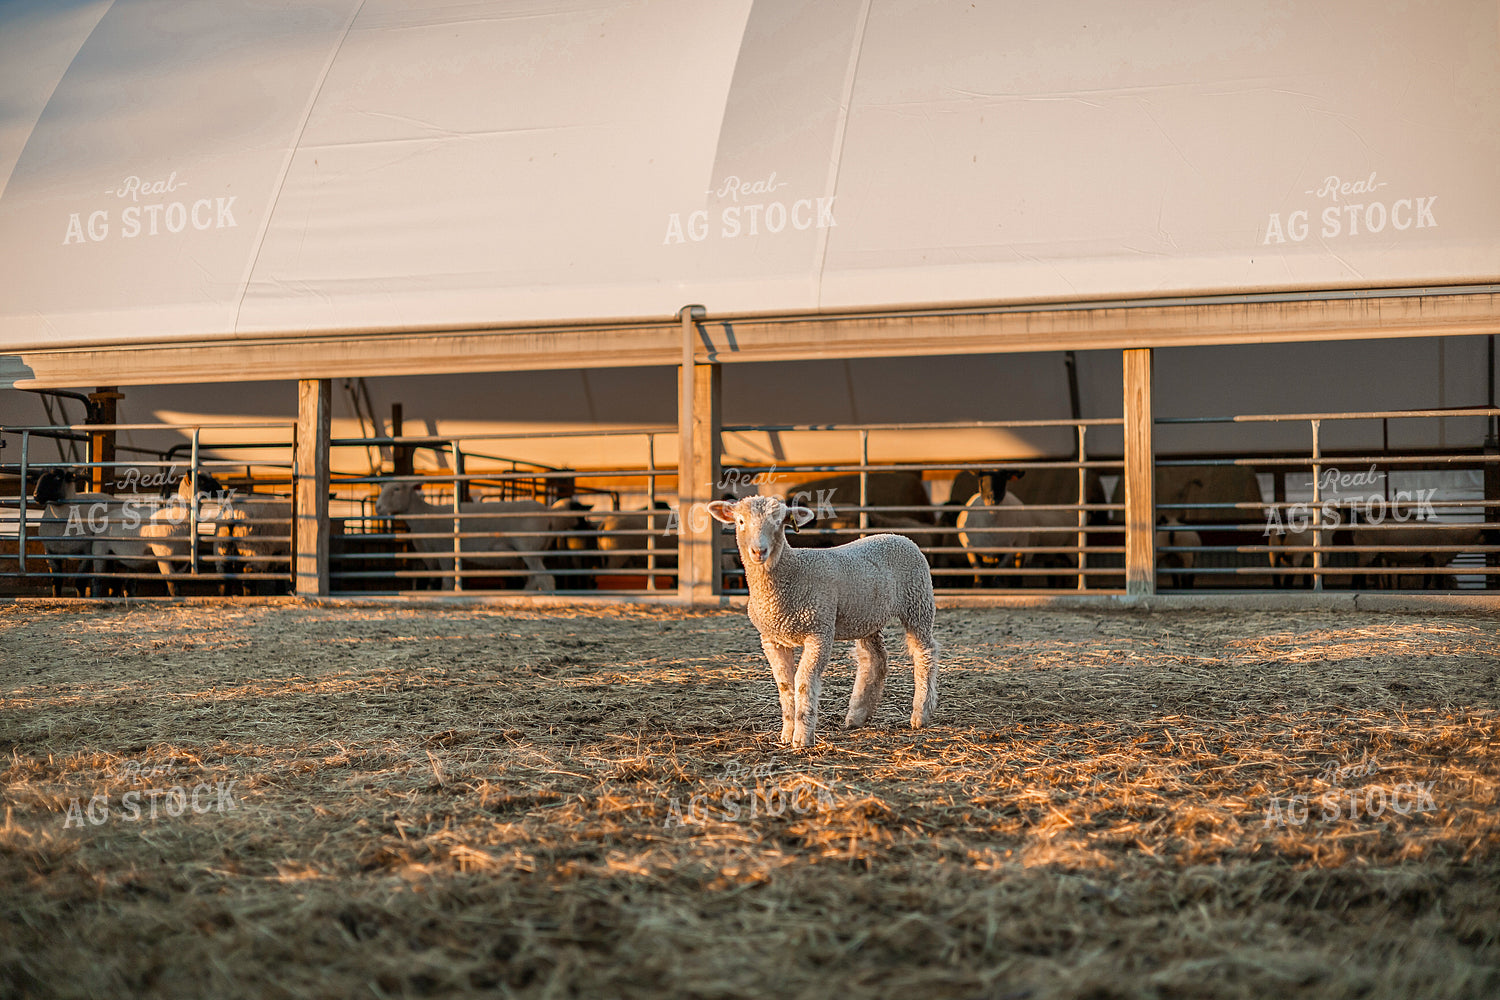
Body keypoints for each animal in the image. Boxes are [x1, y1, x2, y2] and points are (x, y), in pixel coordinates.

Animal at [373, 481, 572, 590]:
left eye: (397, 489)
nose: (377, 507)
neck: (426, 515)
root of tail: (547, 511)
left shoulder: (445, 552)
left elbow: (447, 582)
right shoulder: (430, 558)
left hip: (528, 548)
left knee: (545, 579)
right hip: (532, 552)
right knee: (534, 579)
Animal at [708, 495, 939, 748]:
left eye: (779, 522)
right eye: (740, 521)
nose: (759, 551)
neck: (791, 572)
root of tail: (898, 536)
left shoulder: (819, 633)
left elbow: (803, 681)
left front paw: (802, 737)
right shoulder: (771, 639)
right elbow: (785, 685)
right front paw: (787, 733)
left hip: (917, 602)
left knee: (924, 653)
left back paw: (920, 713)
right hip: (867, 616)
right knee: (874, 659)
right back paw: (857, 715)